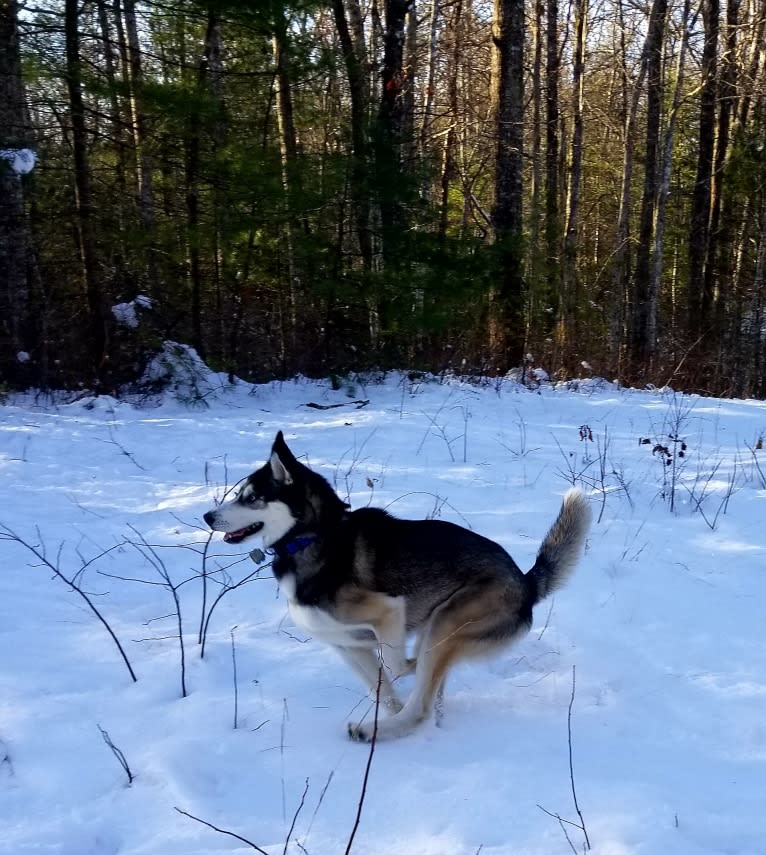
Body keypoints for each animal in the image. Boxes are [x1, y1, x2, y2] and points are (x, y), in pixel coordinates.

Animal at [206, 434, 592, 744]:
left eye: (251, 498)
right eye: (239, 494)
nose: (208, 517)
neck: (313, 537)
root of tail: (525, 581)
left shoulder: (388, 611)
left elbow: (396, 666)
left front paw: (408, 668)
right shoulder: (348, 646)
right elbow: (386, 693)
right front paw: (392, 708)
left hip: (445, 622)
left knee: (422, 700)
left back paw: (380, 724)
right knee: (428, 699)